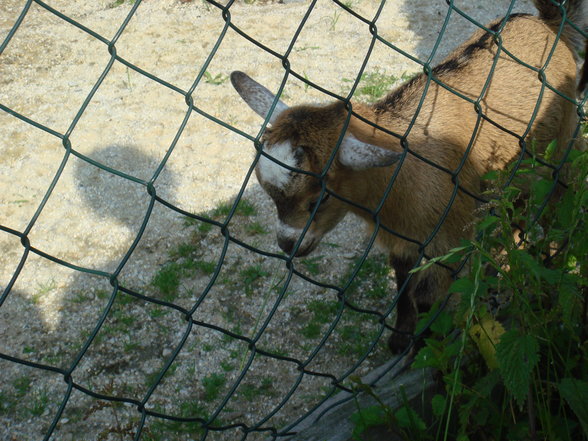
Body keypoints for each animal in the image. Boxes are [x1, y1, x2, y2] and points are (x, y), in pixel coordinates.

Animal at [229, 0, 584, 350]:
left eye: (318, 199)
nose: (288, 244)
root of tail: (546, 23)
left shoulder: (447, 237)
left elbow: (427, 298)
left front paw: (426, 345)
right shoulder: (402, 236)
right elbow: (402, 280)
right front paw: (400, 338)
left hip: (564, 144)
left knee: (559, 203)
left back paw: (550, 267)